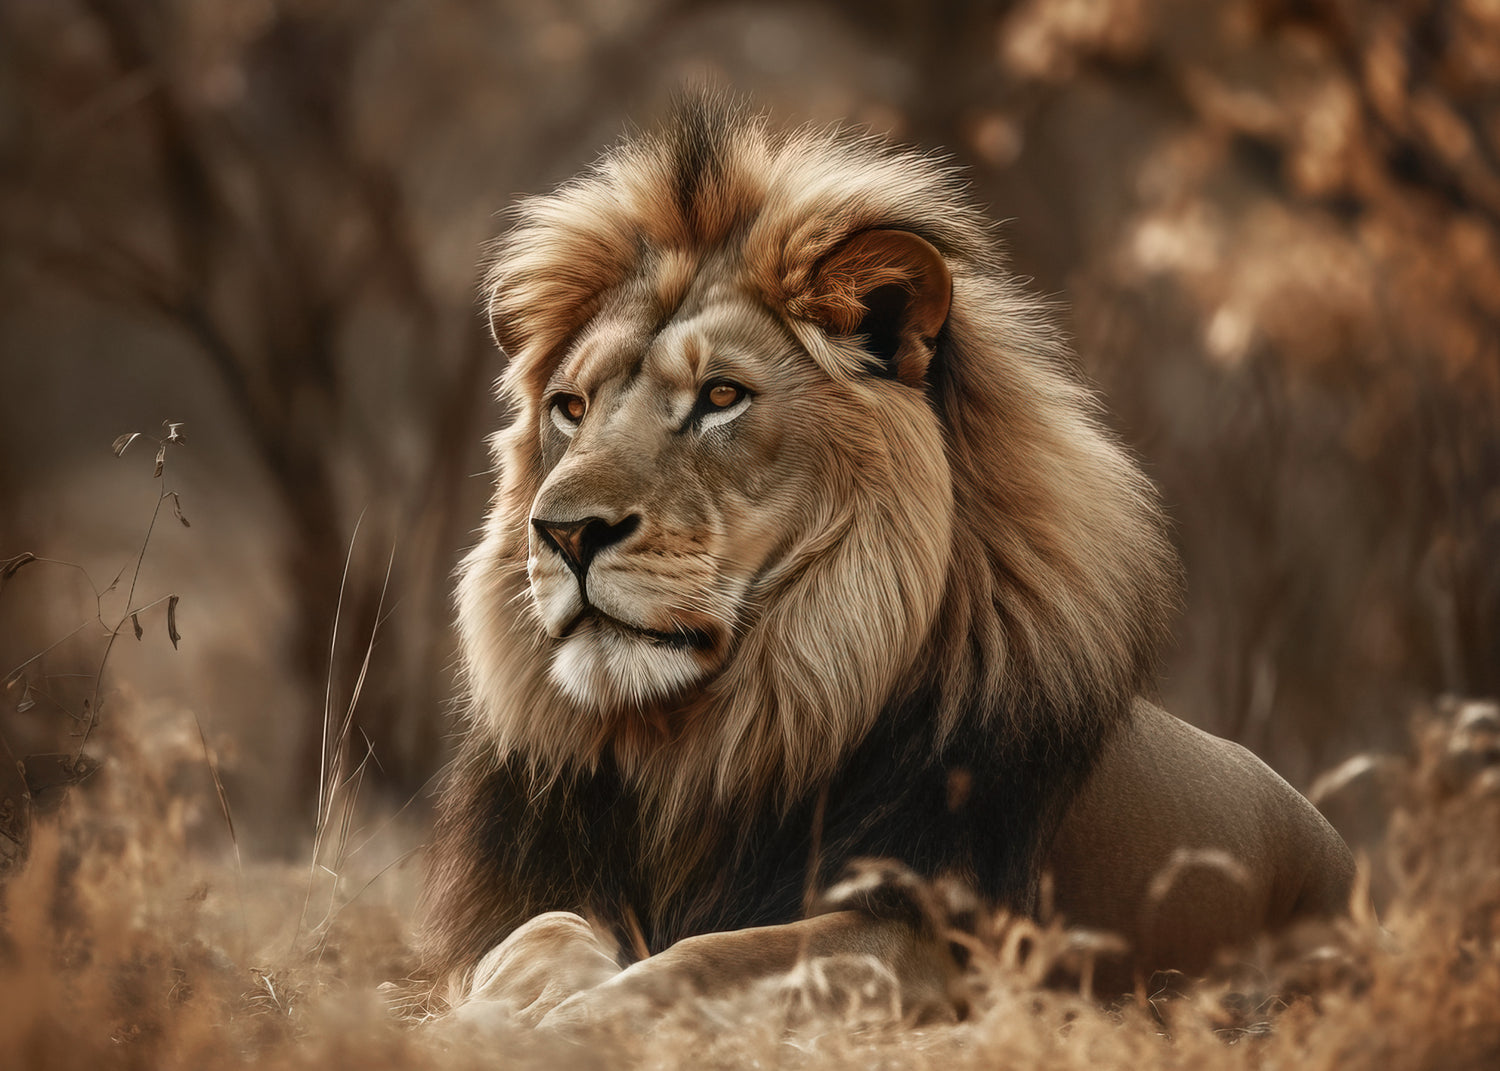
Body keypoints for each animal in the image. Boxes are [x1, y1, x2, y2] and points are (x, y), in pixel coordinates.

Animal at [419, 97, 1356, 1026]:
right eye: (570, 407)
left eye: (722, 395)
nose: (563, 533)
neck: (697, 746)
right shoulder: (530, 897)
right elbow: (538, 932)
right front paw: (489, 1018)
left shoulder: (936, 940)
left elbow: (708, 957)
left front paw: (582, 1019)